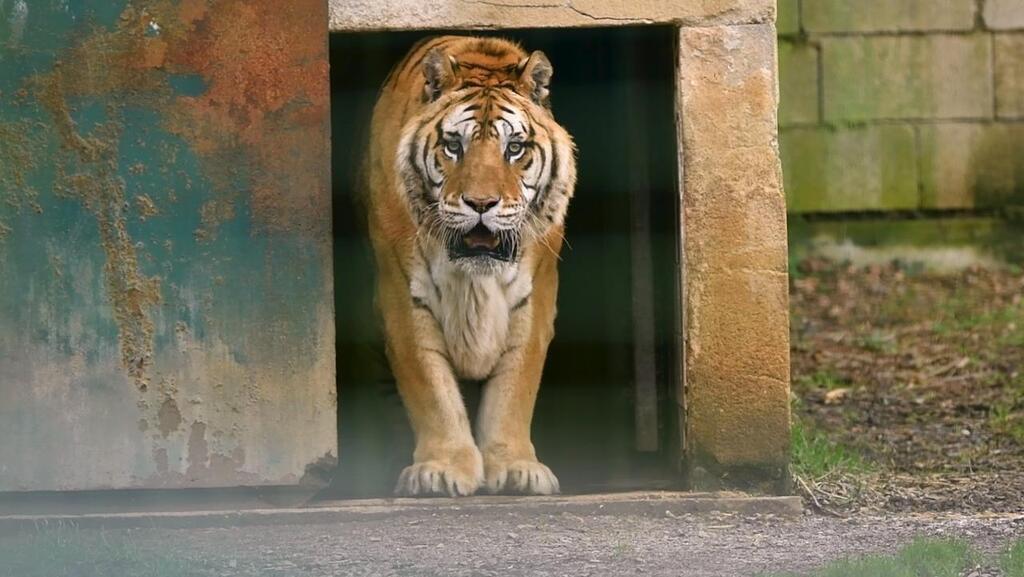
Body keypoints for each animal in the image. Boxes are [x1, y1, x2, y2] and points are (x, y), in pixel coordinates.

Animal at [364, 36, 581, 496]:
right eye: (453, 146)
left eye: (514, 148)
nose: (481, 204)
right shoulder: (403, 299)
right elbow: (432, 390)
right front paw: (441, 469)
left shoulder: (534, 300)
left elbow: (514, 390)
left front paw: (517, 468)